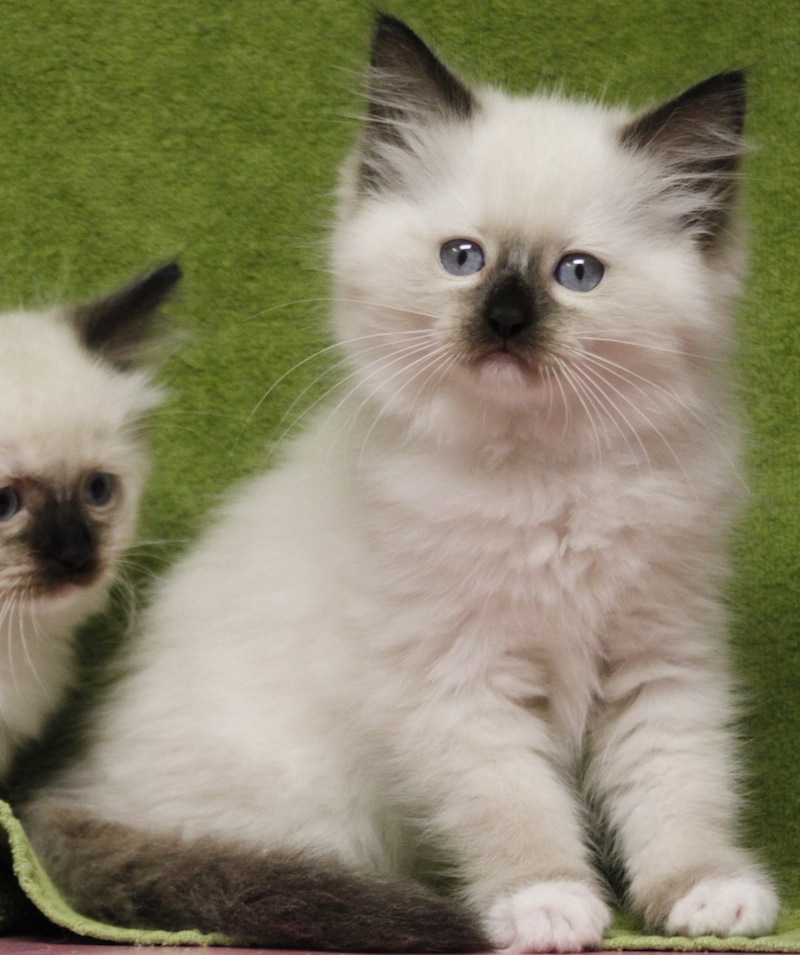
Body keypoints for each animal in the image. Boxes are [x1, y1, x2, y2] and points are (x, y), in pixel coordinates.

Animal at [23, 16, 776, 955]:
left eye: (577, 274)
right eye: (463, 258)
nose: (504, 320)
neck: (544, 476)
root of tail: (78, 789)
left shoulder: (660, 657)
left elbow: (679, 787)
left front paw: (704, 890)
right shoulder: (455, 680)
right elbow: (513, 804)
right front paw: (547, 902)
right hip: (311, 808)